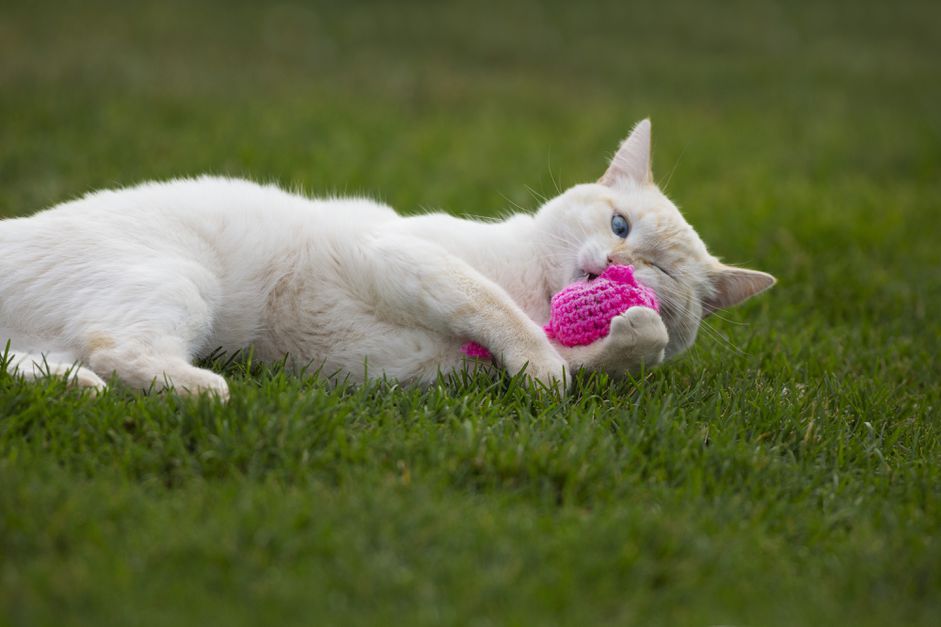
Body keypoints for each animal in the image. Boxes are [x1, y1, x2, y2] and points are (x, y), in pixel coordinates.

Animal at [1, 119, 772, 400]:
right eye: (618, 223)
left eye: (660, 274)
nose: (615, 266)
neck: (535, 287)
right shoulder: (403, 254)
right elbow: (497, 311)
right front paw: (543, 363)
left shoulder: (443, 370)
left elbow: (620, 347)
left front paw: (625, 334)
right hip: (180, 280)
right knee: (115, 349)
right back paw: (204, 387)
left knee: (63, 363)